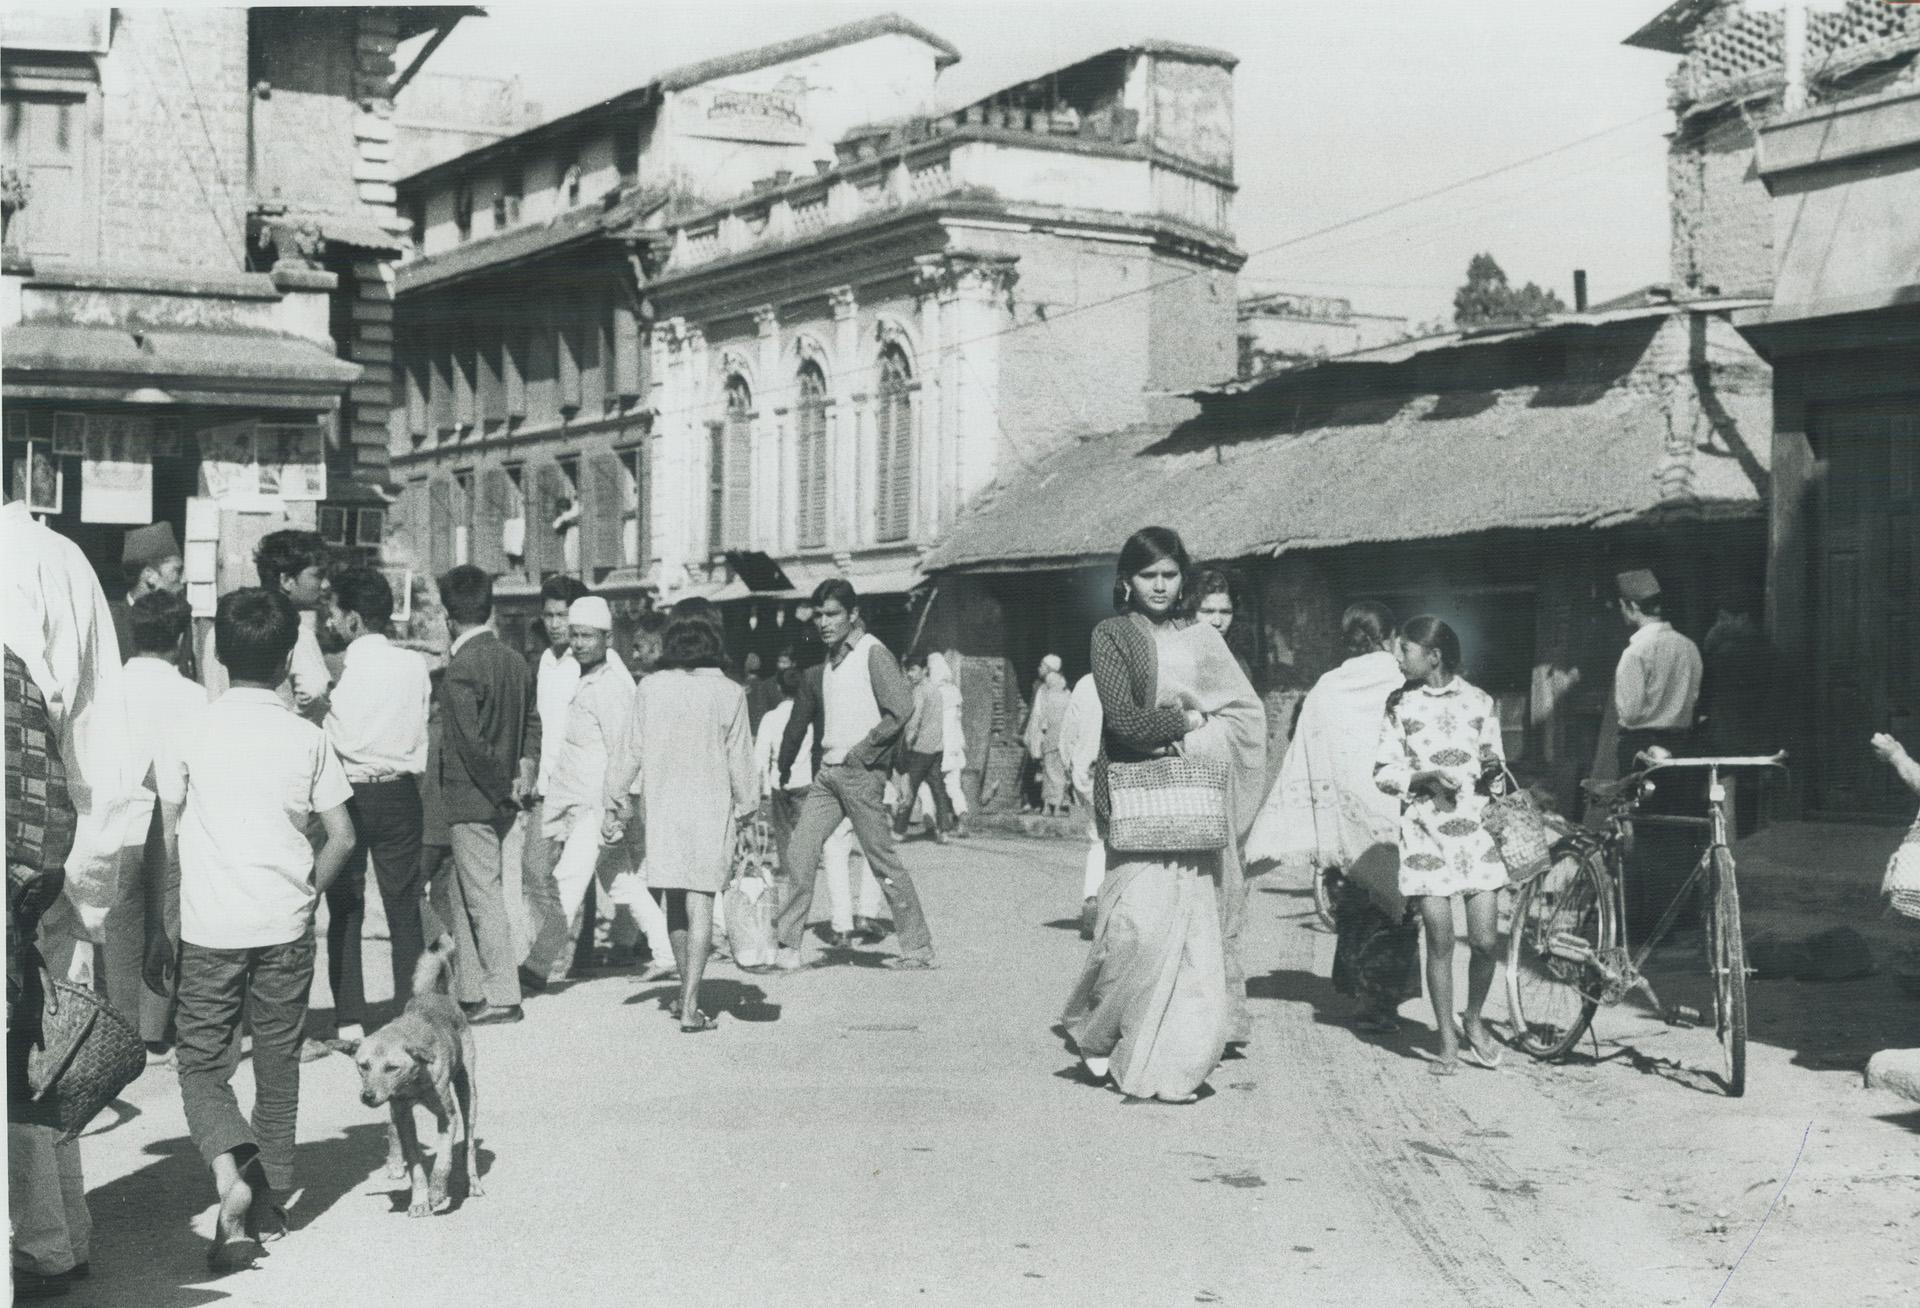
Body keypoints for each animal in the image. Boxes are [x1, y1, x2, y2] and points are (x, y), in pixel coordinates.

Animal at [353, 933, 487, 1206]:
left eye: (392, 1067)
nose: (368, 1096)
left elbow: (443, 1159)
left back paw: (473, 1182)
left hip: (468, 1092)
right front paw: (419, 1200)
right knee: (391, 1128)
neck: (413, 1084)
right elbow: (414, 1162)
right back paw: (395, 1163)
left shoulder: (448, 1118)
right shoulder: (402, 1114)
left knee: (468, 1144)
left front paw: (437, 1190)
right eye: (363, 1066)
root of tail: (435, 994)